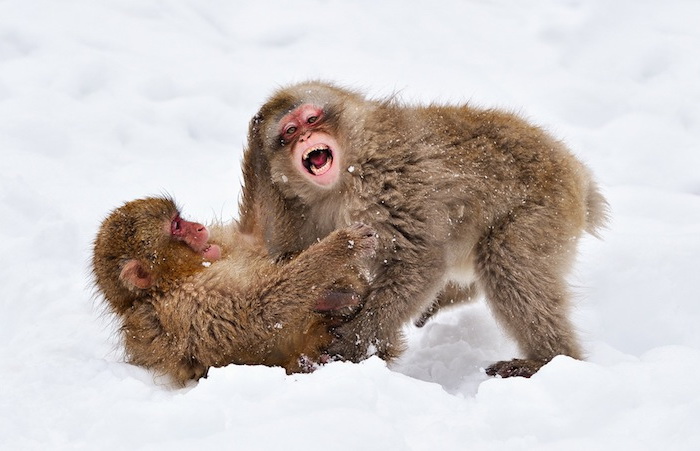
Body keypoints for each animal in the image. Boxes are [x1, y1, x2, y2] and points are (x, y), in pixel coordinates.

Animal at [95, 196, 378, 386]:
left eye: (180, 219)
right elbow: (258, 314)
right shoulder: (187, 305)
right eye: (176, 227)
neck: (176, 279)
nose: (198, 227)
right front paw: (342, 245)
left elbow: (256, 239)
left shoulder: (222, 243)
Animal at [239, 81, 608, 378]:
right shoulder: (300, 211)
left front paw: (358, 339)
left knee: (507, 262)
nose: (305, 136)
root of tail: (577, 174)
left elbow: (420, 260)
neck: (341, 184)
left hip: (544, 209)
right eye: (289, 131)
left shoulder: (390, 178)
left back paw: (549, 359)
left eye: (311, 119)